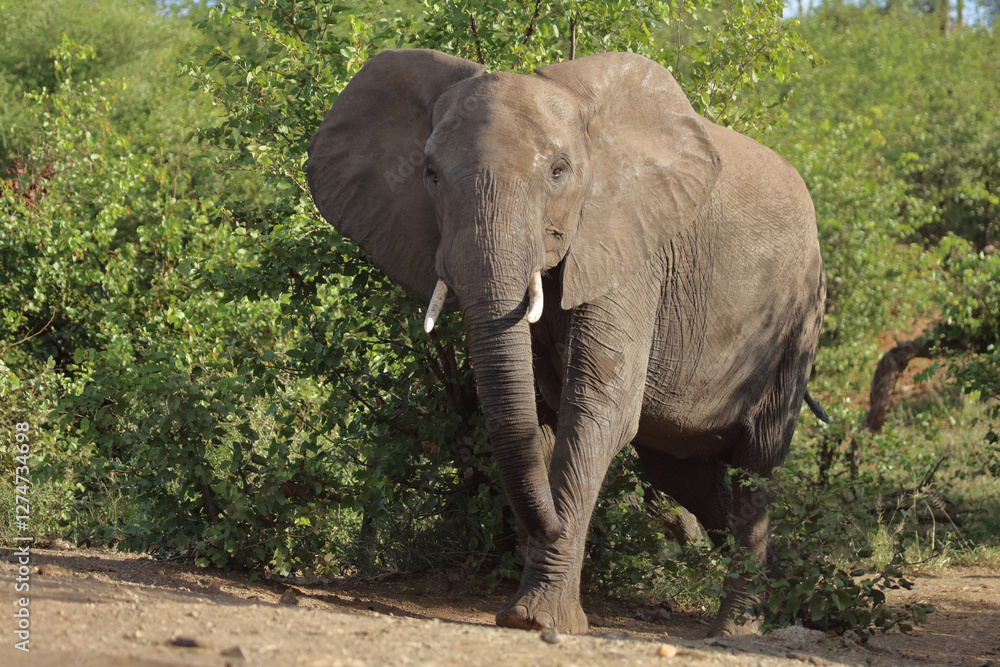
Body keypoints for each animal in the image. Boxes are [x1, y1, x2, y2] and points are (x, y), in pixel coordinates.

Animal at [307, 48, 826, 637]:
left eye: (559, 171)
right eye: (430, 174)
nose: (549, 528)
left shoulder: (628, 243)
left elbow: (598, 408)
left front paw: (537, 620)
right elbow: (536, 415)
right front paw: (528, 606)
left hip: (798, 317)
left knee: (757, 464)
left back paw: (738, 629)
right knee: (684, 472)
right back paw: (790, 599)